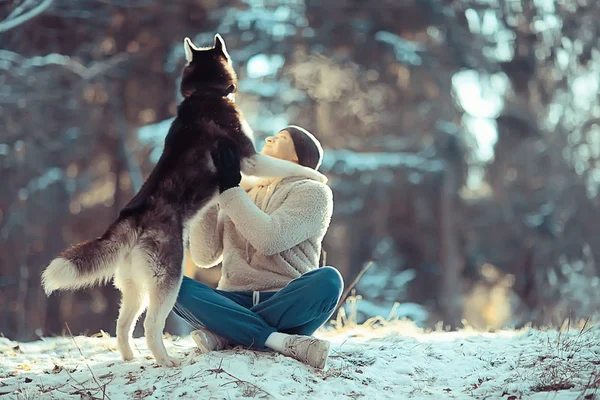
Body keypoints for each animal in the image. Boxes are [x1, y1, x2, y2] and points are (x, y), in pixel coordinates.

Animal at [41, 32, 328, 368]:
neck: (205, 92)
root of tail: (132, 215)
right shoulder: (250, 157)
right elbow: (286, 167)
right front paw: (318, 175)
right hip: (169, 278)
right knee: (152, 325)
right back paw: (166, 361)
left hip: (134, 287)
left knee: (123, 324)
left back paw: (129, 357)